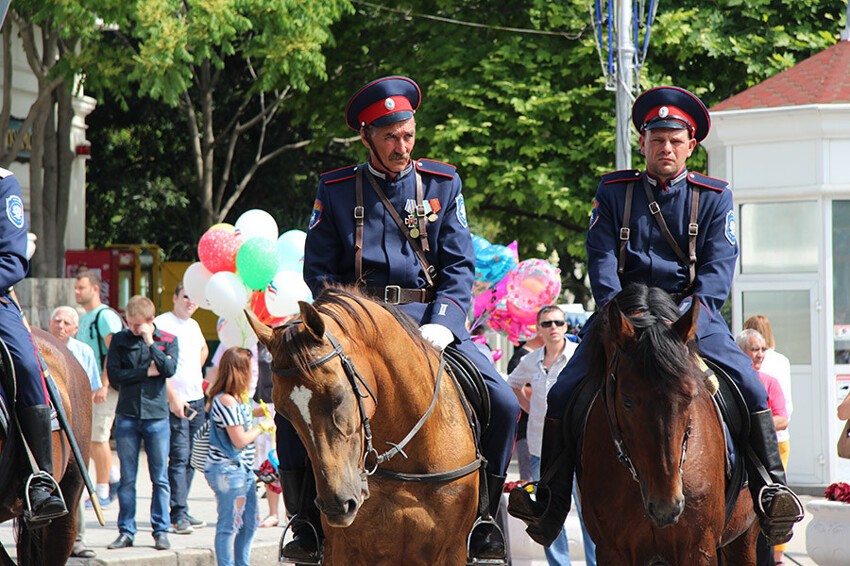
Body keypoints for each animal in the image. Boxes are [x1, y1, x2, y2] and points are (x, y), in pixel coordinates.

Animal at [576, 288, 756, 566]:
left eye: (690, 396)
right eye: (627, 402)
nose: (667, 506)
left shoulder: (698, 548)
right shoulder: (612, 551)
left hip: (744, 535)